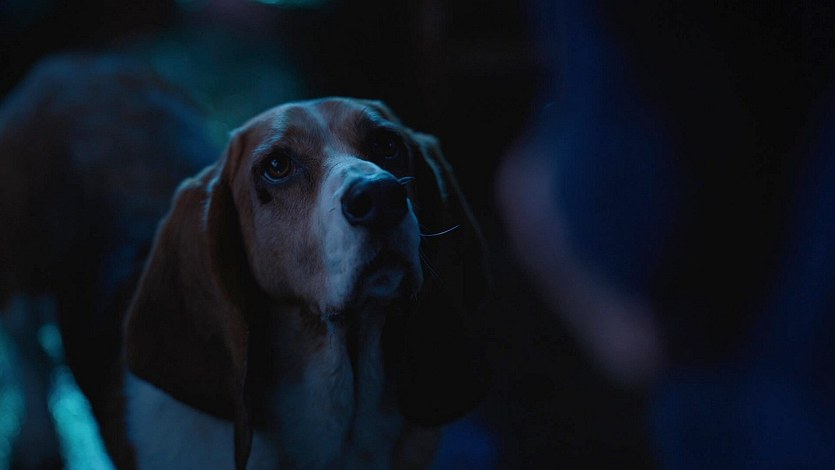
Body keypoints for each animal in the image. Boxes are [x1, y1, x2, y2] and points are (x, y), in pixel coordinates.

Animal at [0, 54, 491, 469]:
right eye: (276, 165)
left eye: (388, 144)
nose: (382, 197)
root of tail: (79, 62)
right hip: (19, 286)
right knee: (29, 356)